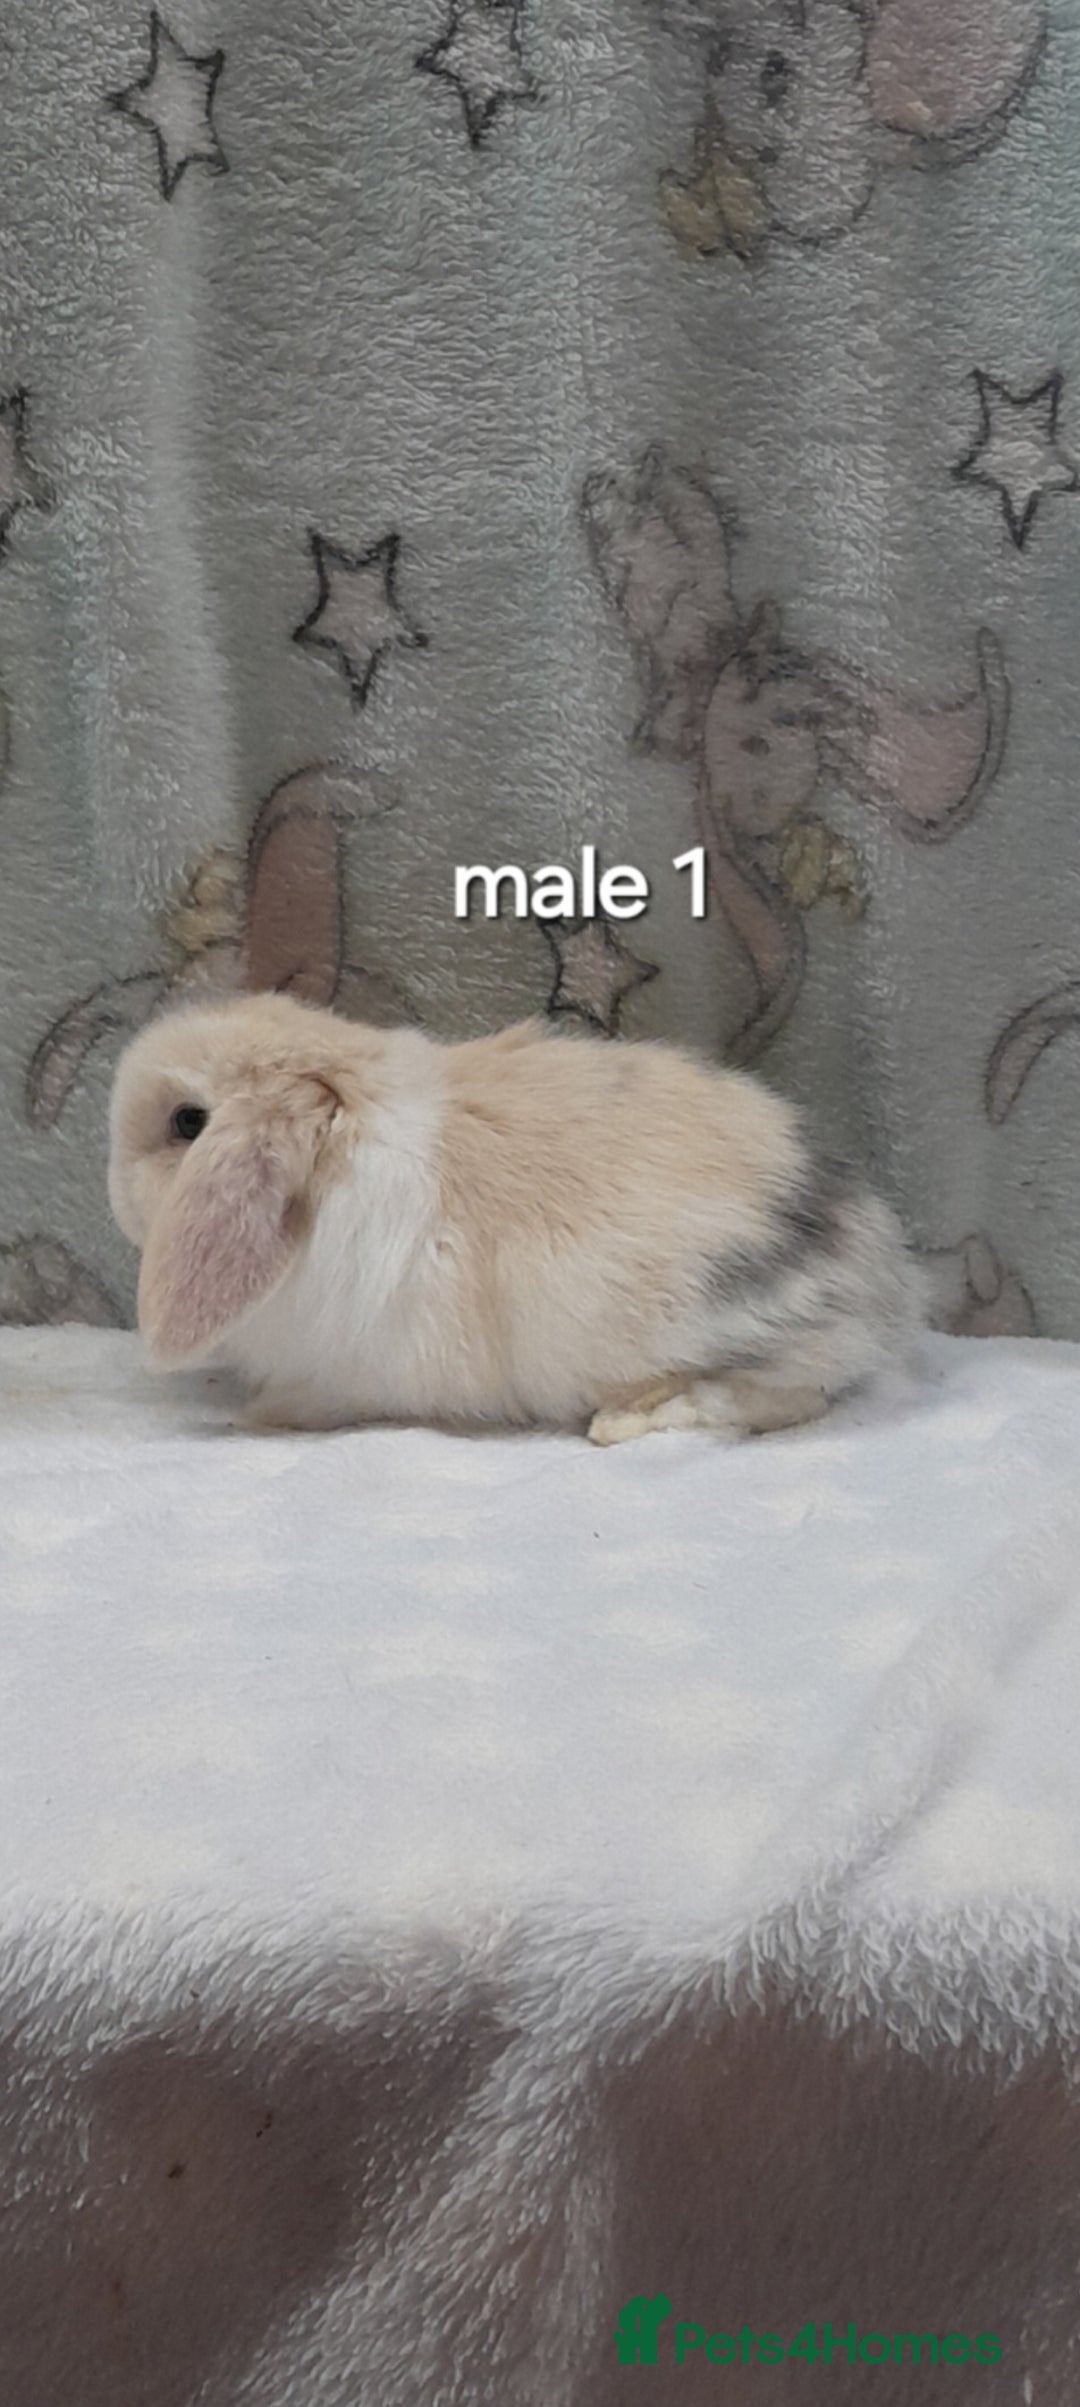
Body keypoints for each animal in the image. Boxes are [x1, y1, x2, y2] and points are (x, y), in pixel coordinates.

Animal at [108, 992, 924, 1442]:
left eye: (188, 1122)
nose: (114, 1197)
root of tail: (879, 1276)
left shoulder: (349, 1372)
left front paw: (256, 1415)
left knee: (781, 1399)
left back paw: (626, 1419)